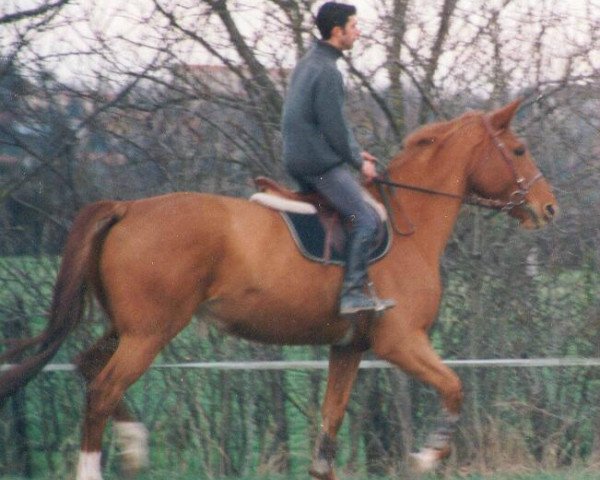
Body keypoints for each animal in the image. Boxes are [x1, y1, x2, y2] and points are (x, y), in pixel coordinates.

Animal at [0, 99, 556, 478]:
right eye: (519, 149)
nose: (549, 208)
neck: (407, 228)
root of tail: (127, 207)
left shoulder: (349, 349)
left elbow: (328, 434)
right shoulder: (401, 342)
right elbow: (454, 387)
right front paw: (425, 455)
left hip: (127, 328)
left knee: (86, 367)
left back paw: (134, 443)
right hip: (149, 334)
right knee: (101, 388)